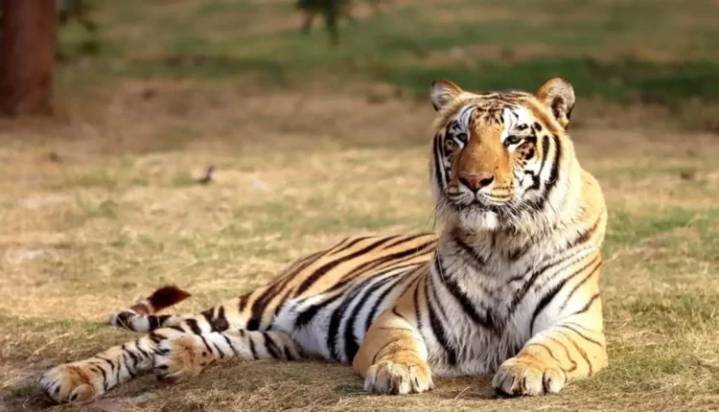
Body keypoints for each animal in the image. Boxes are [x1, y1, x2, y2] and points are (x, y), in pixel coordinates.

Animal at [40, 77, 607, 403]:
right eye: (459, 137)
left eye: (515, 138)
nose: (473, 181)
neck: (500, 243)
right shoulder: (399, 317)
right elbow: (397, 347)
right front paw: (397, 373)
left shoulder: (577, 324)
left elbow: (547, 347)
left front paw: (527, 373)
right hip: (257, 304)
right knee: (138, 342)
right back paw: (70, 378)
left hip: (277, 336)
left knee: (210, 344)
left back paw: (177, 362)